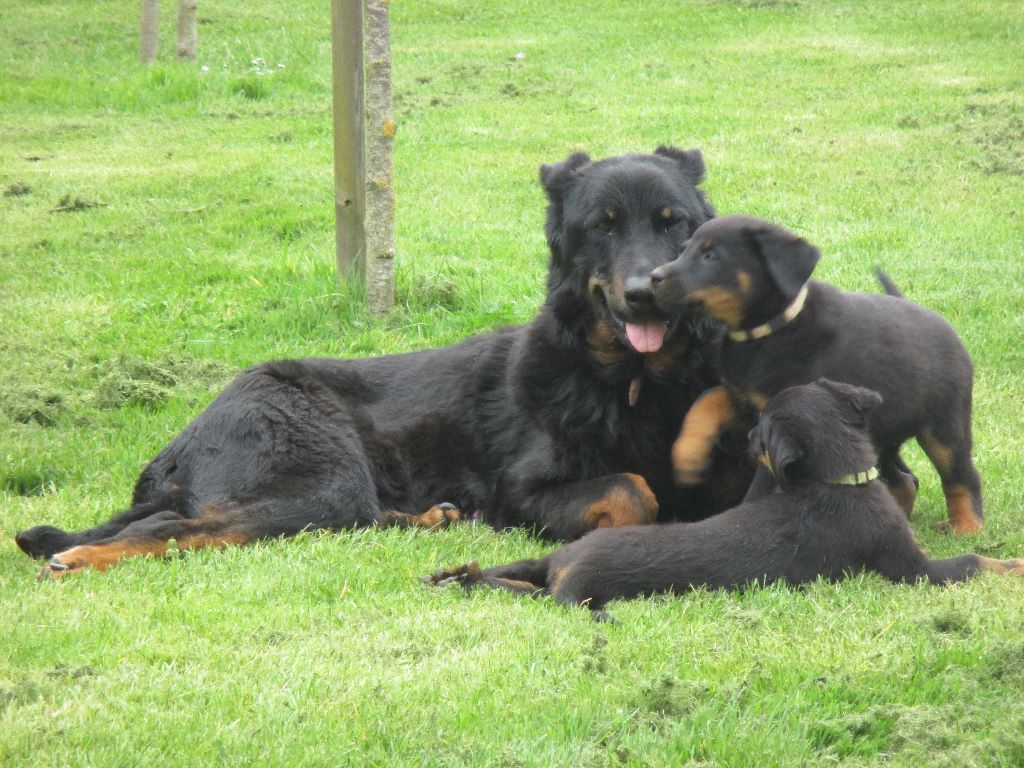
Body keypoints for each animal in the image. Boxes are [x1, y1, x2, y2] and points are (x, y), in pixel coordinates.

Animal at [15, 147, 753, 578]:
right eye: (603, 226)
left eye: (674, 222)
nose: (646, 291)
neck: (635, 383)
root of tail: (182, 441)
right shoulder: (522, 491)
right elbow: (632, 489)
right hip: (320, 479)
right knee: (179, 528)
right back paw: (81, 557)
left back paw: (433, 516)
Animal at [426, 380, 1020, 621]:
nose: (745, 437)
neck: (832, 480)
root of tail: (564, 569)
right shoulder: (911, 569)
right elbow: (971, 561)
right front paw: (1011, 564)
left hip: (538, 560)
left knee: (501, 576)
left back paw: (455, 575)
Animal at [648, 214, 983, 534]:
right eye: (684, 250)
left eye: (711, 256)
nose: (653, 278)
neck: (766, 331)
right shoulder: (741, 393)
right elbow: (707, 400)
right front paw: (688, 456)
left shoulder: (781, 423)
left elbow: (760, 484)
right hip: (878, 430)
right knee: (903, 480)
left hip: (944, 425)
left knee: (962, 476)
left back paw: (967, 528)